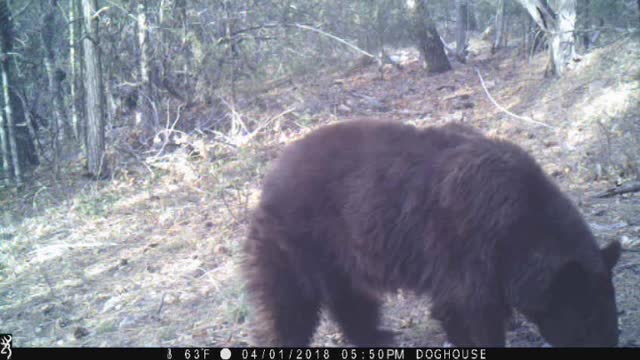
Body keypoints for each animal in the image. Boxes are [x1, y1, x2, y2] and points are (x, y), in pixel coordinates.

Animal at [242, 119, 624, 348]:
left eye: (611, 316)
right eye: (590, 320)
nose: (610, 345)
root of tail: (272, 174)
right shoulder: (469, 246)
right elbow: (467, 310)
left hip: (341, 252)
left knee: (351, 298)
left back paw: (377, 337)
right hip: (297, 239)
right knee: (289, 304)